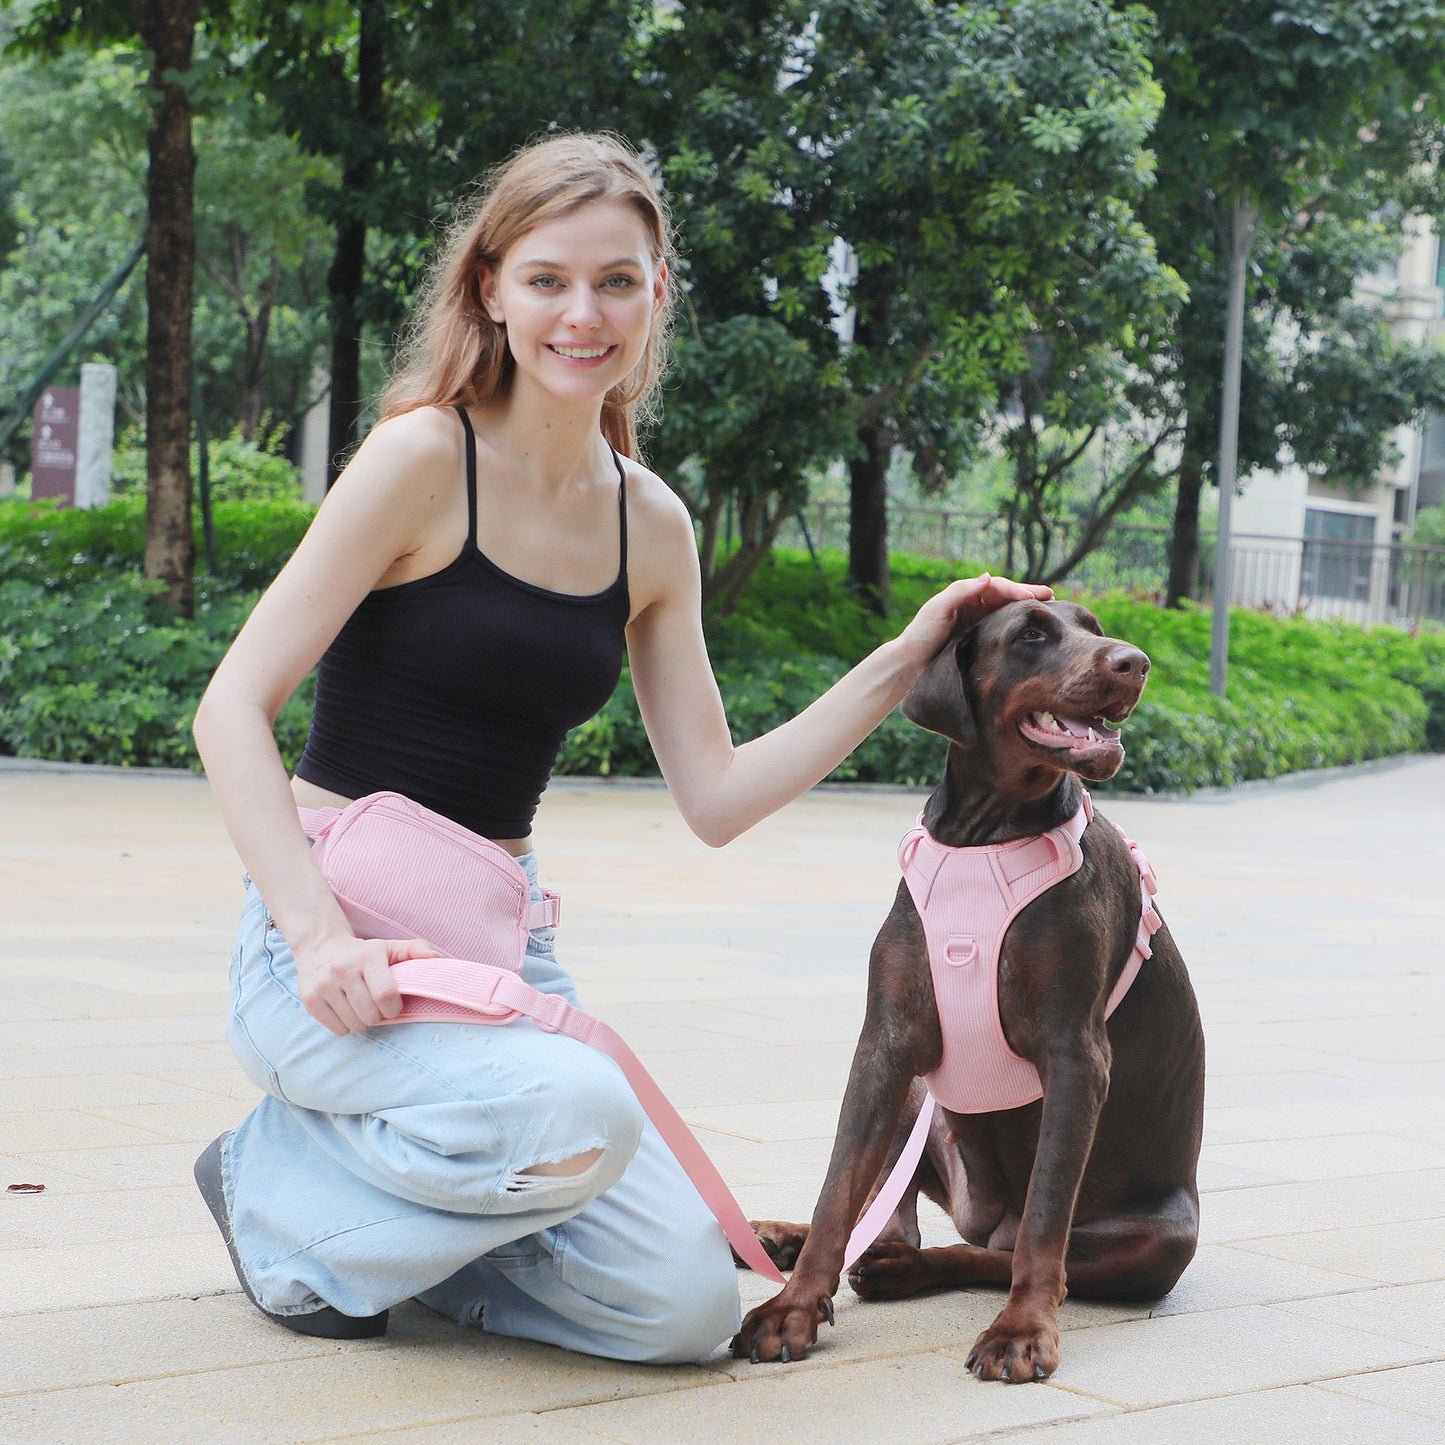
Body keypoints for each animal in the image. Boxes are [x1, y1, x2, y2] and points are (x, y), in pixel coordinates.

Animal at [734, 595, 1208, 1375]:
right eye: (1032, 634)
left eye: (1094, 624)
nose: (1134, 661)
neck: (986, 837)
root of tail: (982, 1216)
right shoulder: (886, 1043)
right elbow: (838, 1189)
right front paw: (792, 1307)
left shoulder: (1075, 1056)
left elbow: (1045, 1219)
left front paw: (1021, 1330)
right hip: (918, 1097)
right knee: (889, 1219)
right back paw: (790, 1240)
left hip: (1159, 1237)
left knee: (999, 1250)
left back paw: (906, 1270)